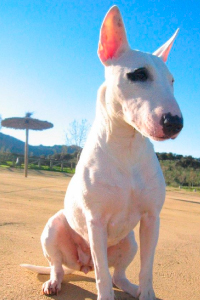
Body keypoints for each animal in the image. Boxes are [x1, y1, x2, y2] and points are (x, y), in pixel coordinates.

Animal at [21, 5, 183, 300]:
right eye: (139, 74)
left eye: (172, 81)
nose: (175, 123)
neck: (127, 147)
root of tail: (81, 264)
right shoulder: (95, 222)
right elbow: (102, 277)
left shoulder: (151, 219)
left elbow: (146, 269)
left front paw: (147, 293)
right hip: (54, 227)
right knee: (62, 266)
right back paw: (54, 283)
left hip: (130, 240)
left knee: (119, 274)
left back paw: (132, 288)